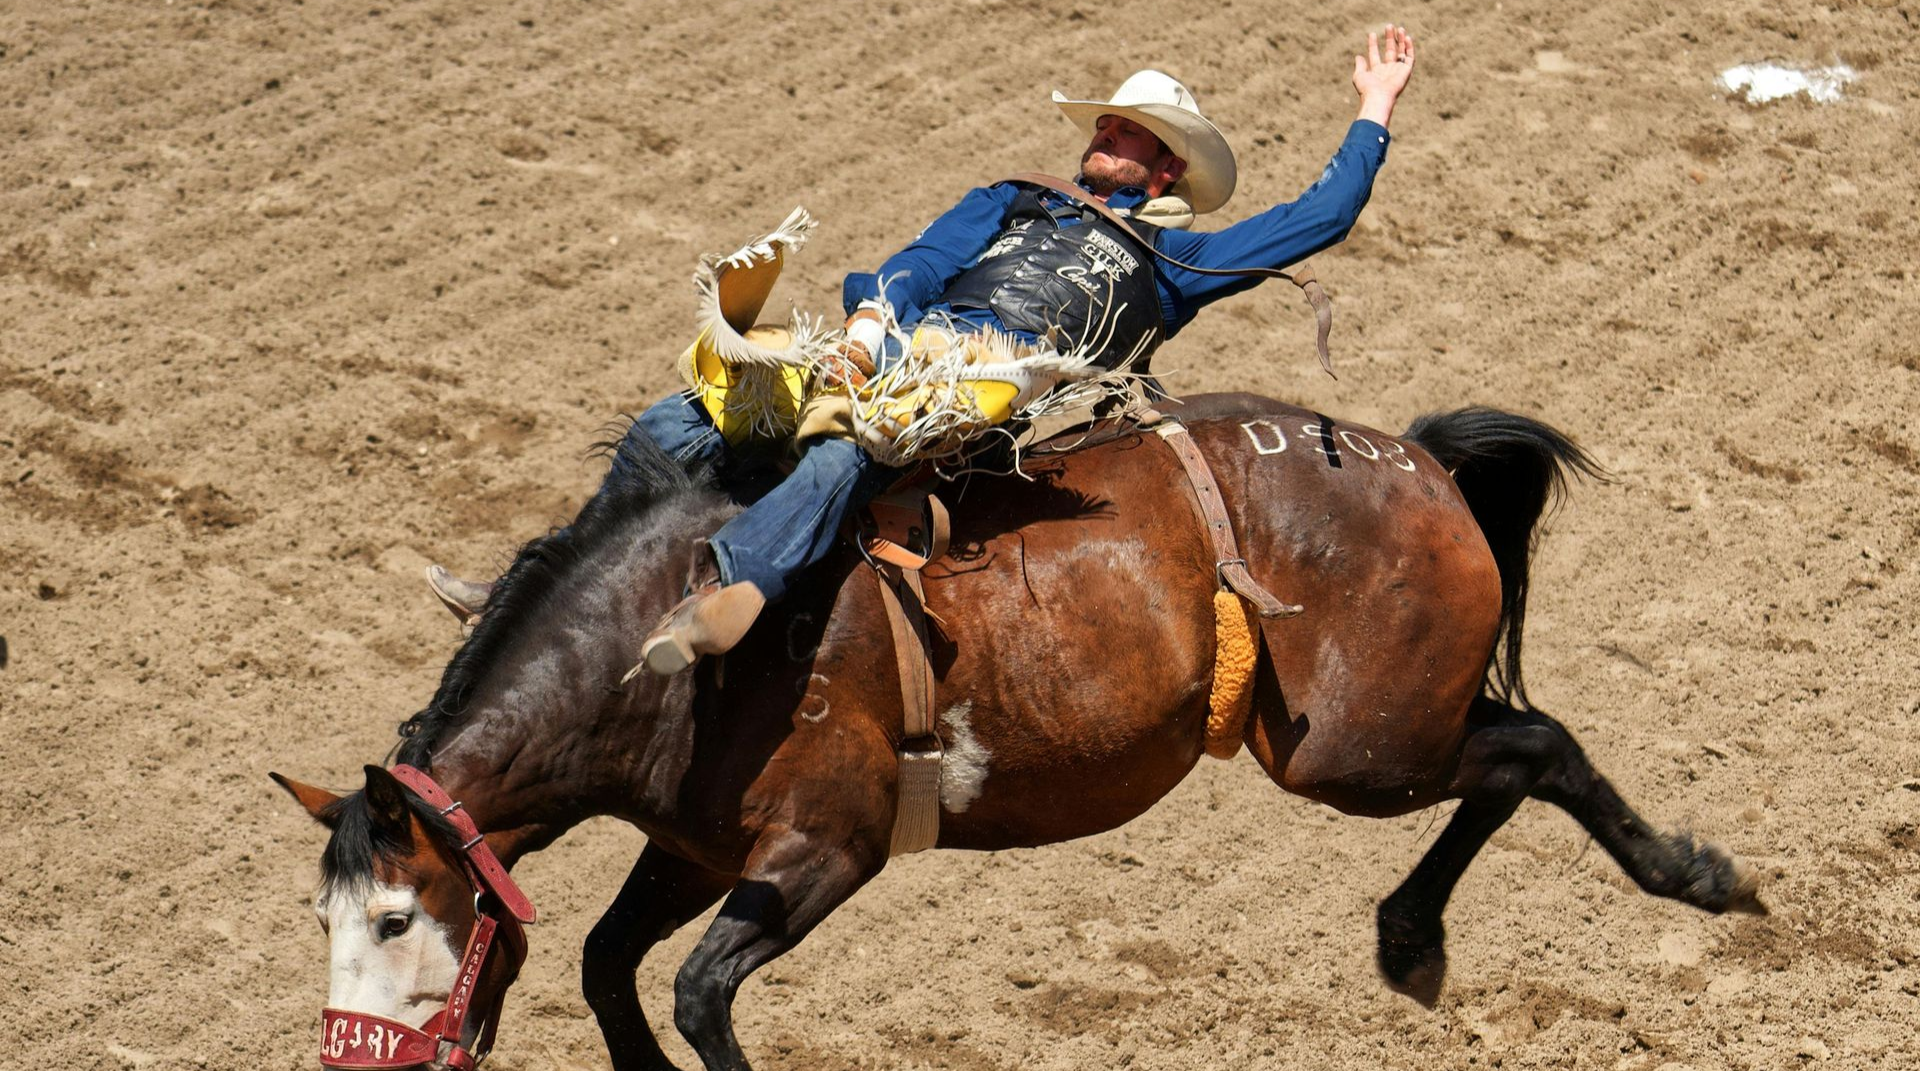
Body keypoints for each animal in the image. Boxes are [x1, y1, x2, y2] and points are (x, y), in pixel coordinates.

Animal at [272, 392, 1765, 1071]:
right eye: (324, 919)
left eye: (397, 916)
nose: (352, 1054)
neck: (683, 640)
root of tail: (1413, 459)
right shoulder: (694, 846)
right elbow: (603, 962)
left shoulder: (825, 847)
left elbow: (696, 989)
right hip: (1373, 737)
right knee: (1518, 749)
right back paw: (1425, 938)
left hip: (1357, 752)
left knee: (1540, 747)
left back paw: (1677, 882)